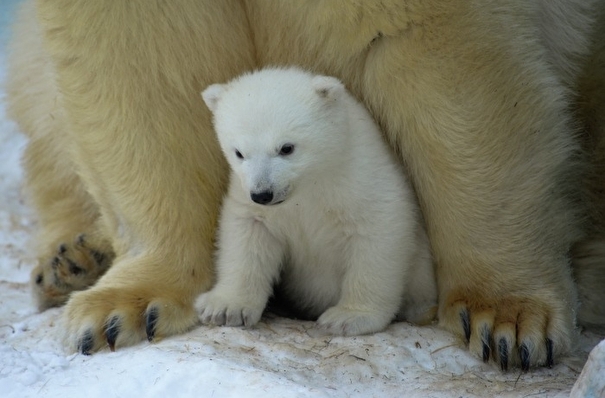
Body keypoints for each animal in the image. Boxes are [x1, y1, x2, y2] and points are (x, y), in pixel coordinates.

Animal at [5, 0, 604, 368]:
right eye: (237, 151)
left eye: (290, 148)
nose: (264, 191)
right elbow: (132, 60)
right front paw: (120, 312)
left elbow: (436, 52)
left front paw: (507, 320)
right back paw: (71, 263)